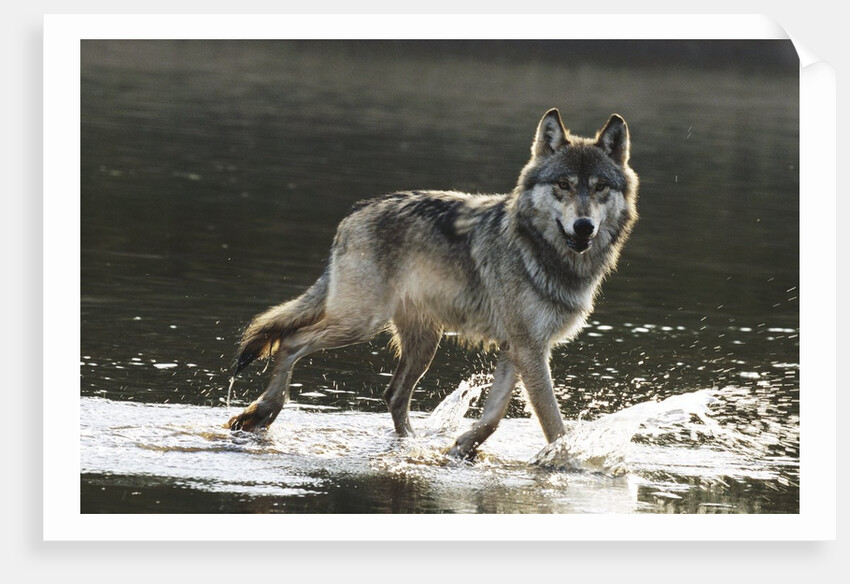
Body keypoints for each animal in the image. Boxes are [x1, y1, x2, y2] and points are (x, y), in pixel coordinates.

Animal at [225, 108, 639, 459]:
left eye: (600, 187)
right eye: (564, 185)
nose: (584, 227)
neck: (543, 253)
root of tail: (354, 213)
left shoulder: (517, 348)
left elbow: (493, 416)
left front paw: (462, 447)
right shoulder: (530, 350)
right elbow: (553, 423)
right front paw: (567, 463)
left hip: (423, 344)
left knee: (393, 394)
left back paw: (411, 444)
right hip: (361, 324)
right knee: (292, 342)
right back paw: (262, 412)